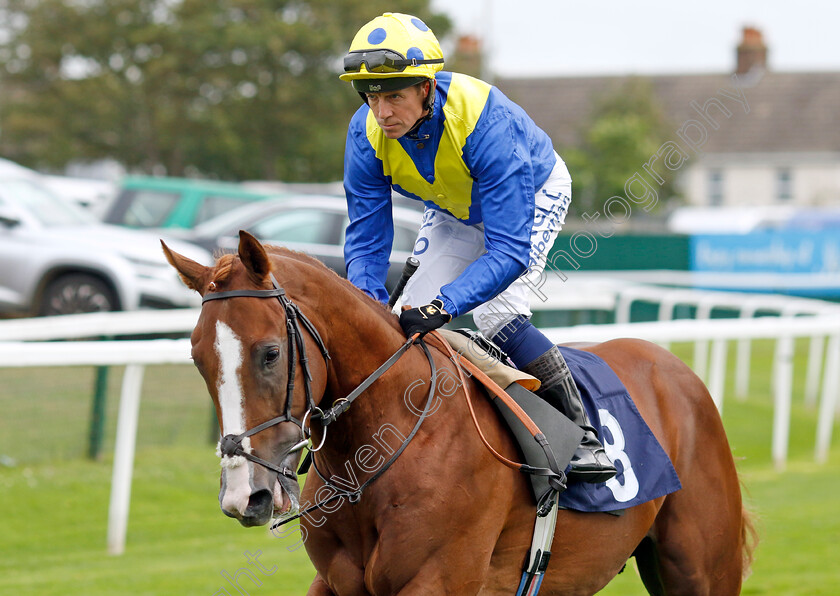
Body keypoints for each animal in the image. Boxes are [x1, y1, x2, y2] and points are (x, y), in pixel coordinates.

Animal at [162, 233, 756, 596]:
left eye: (269, 353)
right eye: (197, 357)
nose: (246, 495)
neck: (388, 440)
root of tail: (673, 366)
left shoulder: (437, 580)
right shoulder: (336, 582)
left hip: (702, 571)